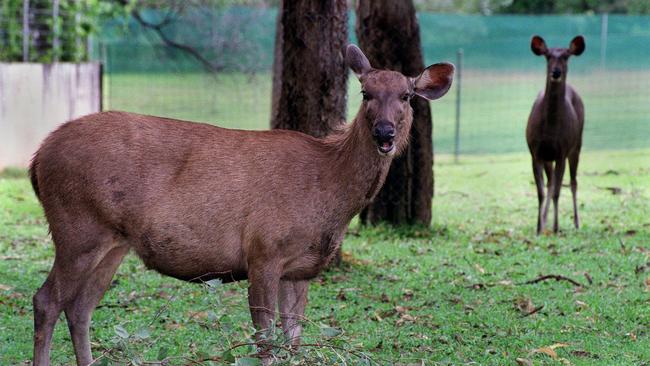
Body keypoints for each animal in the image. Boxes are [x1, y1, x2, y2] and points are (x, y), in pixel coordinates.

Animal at [30, 44, 454, 364]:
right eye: (366, 93)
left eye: (406, 96)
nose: (384, 133)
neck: (330, 195)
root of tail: (38, 157)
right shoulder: (263, 251)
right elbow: (265, 342)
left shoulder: (300, 269)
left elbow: (293, 340)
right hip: (77, 226)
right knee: (46, 300)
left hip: (113, 241)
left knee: (80, 306)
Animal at [524, 35, 584, 234]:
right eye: (547, 56)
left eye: (566, 56)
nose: (556, 72)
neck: (550, 130)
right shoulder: (536, 152)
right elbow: (541, 192)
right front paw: (538, 227)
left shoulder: (561, 152)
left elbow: (558, 191)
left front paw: (556, 227)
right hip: (548, 157)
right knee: (550, 183)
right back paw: (544, 220)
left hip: (576, 145)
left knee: (573, 182)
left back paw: (576, 222)